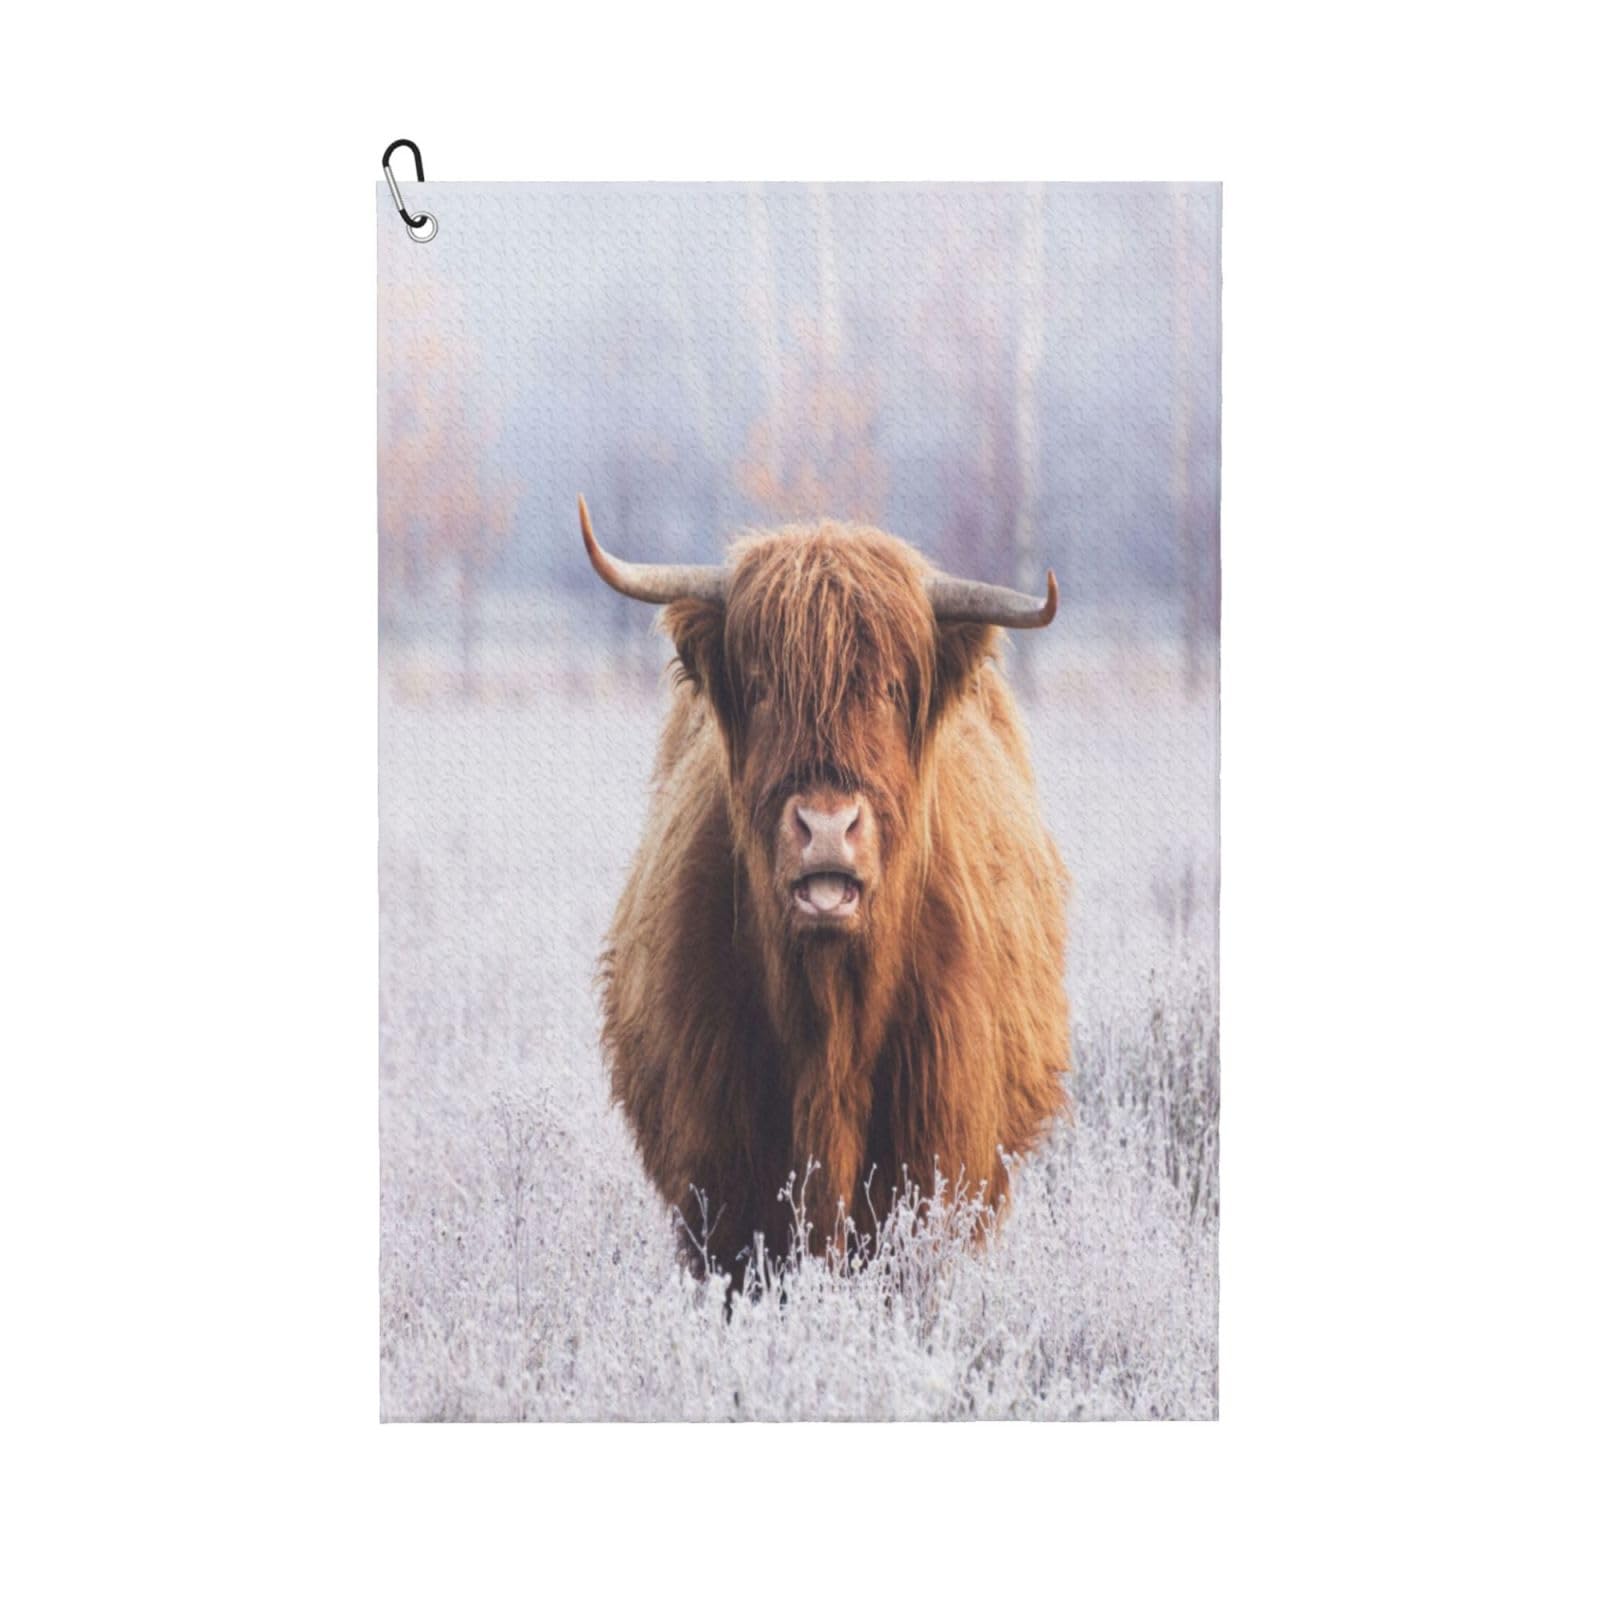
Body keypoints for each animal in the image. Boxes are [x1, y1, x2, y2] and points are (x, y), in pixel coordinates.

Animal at [581, 495, 1069, 1273]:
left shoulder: (936, 1176)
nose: (828, 826)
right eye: (759, 687)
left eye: (893, 689)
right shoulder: (720, 1195)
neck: (830, 1017)